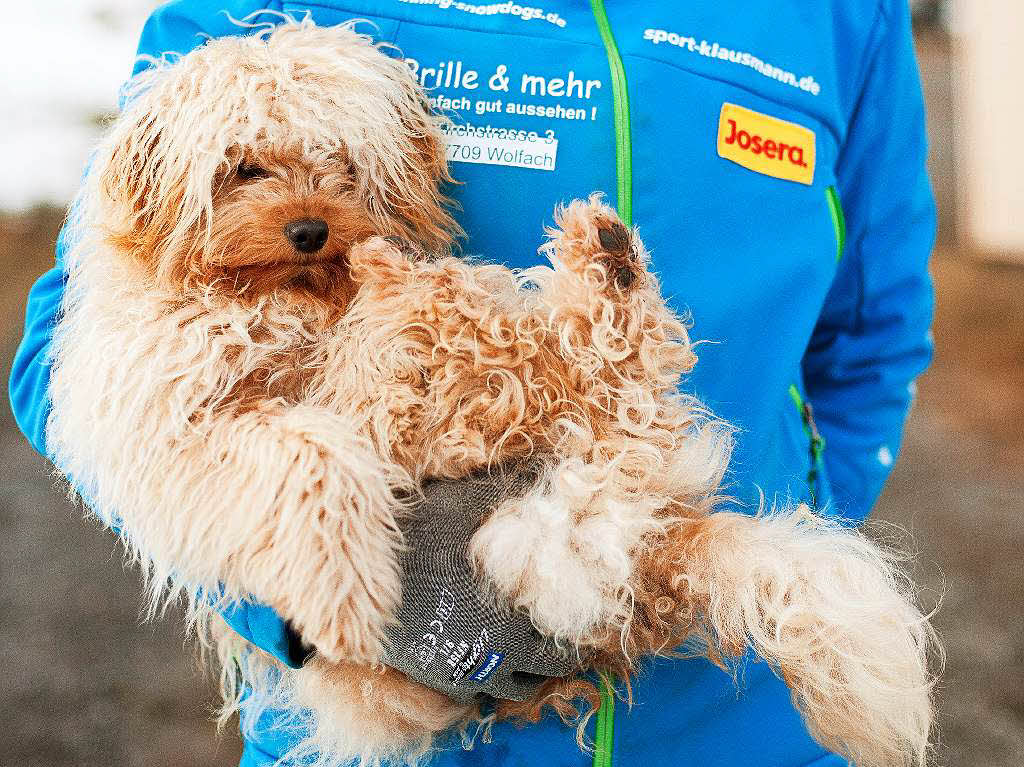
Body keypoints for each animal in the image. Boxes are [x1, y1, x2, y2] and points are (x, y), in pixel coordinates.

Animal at [49, 17, 942, 765]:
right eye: (243, 168)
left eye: (342, 166)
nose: (312, 230)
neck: (290, 301)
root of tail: (648, 546)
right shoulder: (180, 426)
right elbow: (310, 452)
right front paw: (346, 594)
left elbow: (313, 446)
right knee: (594, 387)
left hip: (474, 359)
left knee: (592, 364)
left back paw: (599, 258)